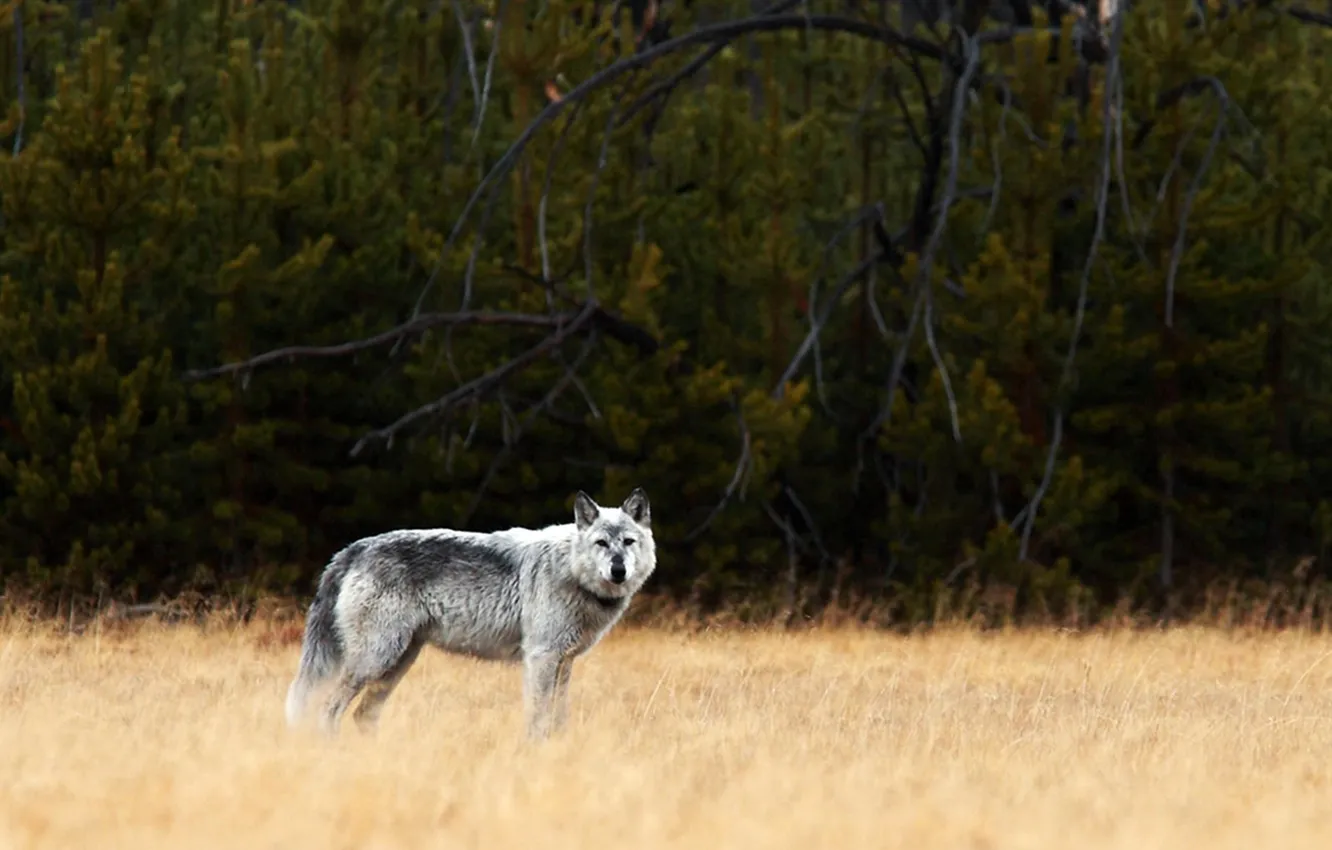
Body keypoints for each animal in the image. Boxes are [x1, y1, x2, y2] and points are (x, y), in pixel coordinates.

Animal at [283, 488, 655, 740]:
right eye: (601, 544)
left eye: (628, 542)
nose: (618, 570)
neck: (571, 571)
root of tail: (354, 548)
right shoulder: (541, 657)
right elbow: (538, 717)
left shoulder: (565, 661)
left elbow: (558, 717)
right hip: (375, 659)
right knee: (328, 709)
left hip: (397, 662)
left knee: (363, 715)